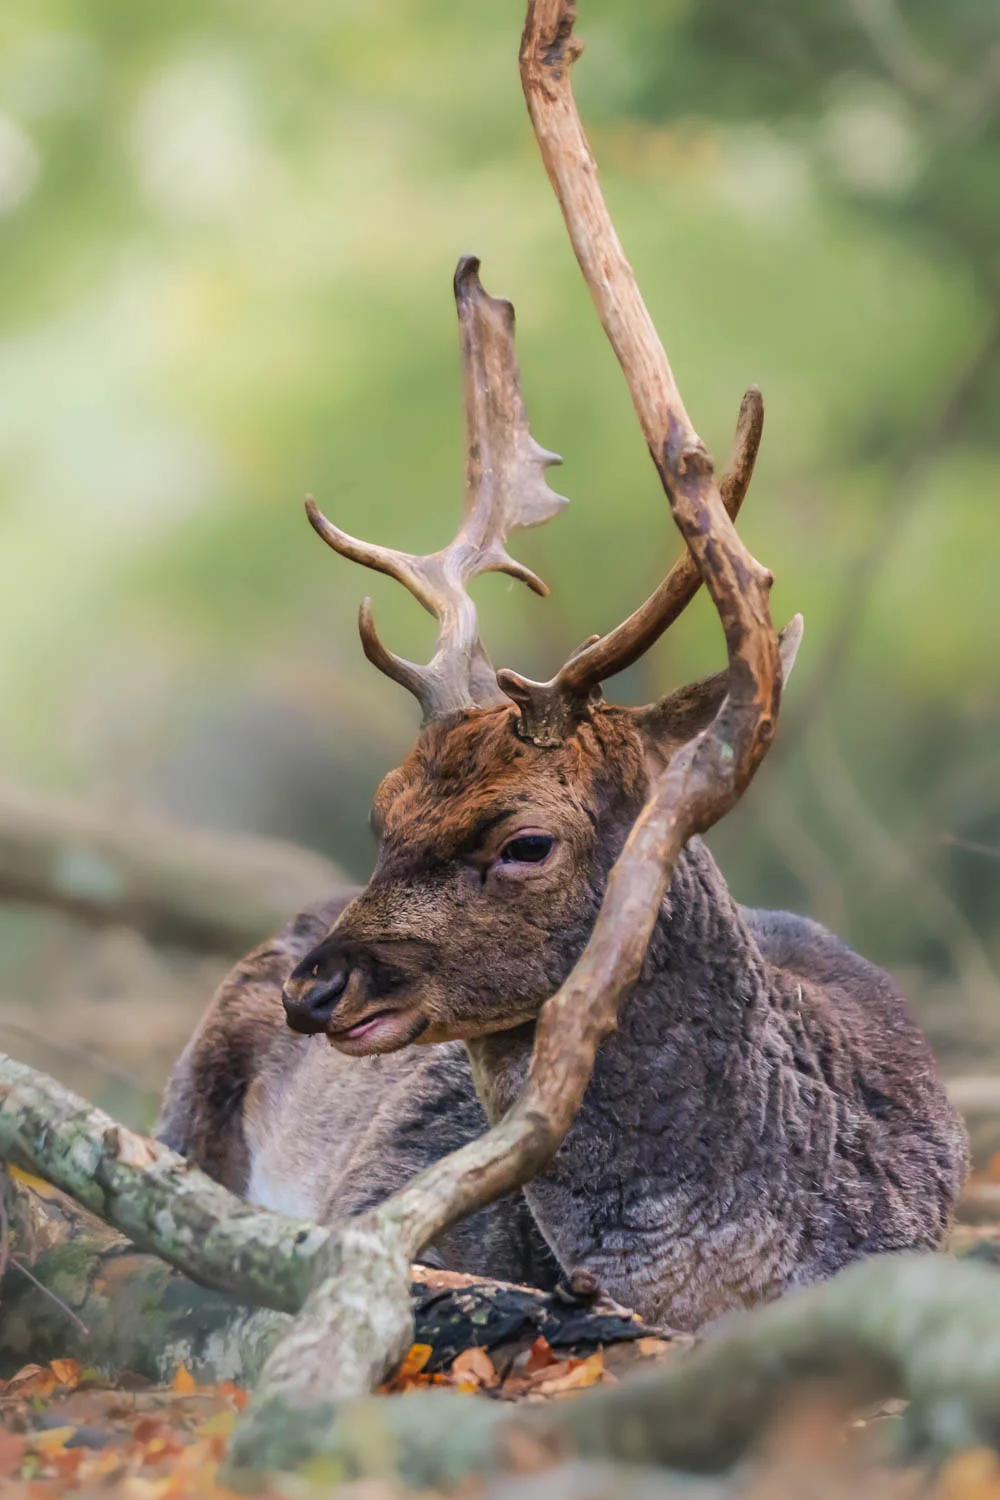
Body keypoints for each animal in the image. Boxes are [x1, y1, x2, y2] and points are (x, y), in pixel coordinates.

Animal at [158, 0, 968, 1332]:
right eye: (382, 811)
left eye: (524, 841)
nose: (317, 989)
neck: (724, 1274)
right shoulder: (371, 1203)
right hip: (187, 1091)